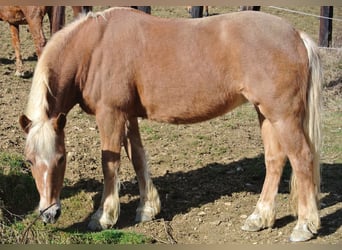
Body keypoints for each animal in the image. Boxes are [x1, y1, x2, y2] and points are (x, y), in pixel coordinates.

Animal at [19, 7, 324, 242]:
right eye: (30, 161)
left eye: (61, 158)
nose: (49, 213)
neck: (93, 47)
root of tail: (296, 35)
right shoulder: (128, 116)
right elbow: (138, 158)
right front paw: (147, 209)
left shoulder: (110, 115)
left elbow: (110, 164)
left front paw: (104, 216)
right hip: (266, 114)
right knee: (275, 160)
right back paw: (259, 218)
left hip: (283, 115)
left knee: (301, 158)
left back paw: (304, 226)